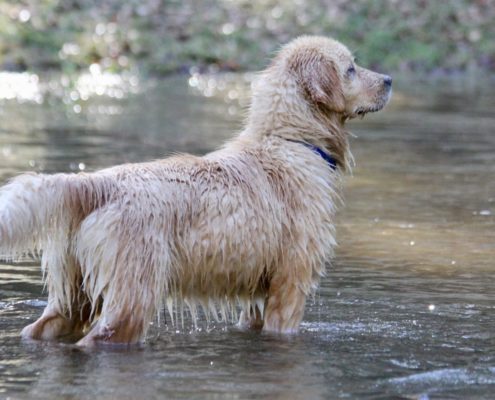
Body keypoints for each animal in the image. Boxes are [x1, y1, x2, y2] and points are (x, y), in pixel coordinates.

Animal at [0, 36, 392, 346]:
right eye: (351, 68)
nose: (389, 79)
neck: (289, 139)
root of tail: (95, 183)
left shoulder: (258, 294)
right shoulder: (291, 283)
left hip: (73, 294)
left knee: (43, 327)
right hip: (134, 292)